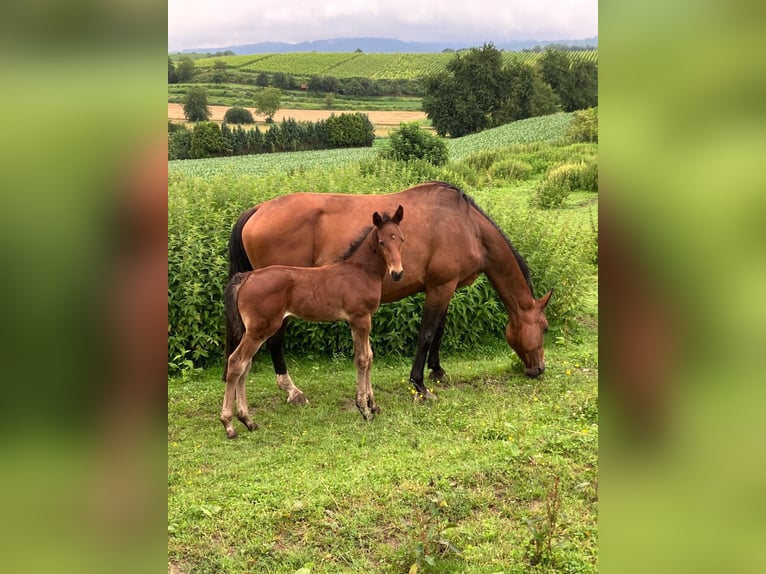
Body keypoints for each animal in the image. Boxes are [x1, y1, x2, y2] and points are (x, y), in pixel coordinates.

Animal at [224, 209, 408, 438]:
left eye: (401, 239)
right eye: (382, 242)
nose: (397, 273)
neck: (359, 272)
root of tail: (246, 278)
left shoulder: (363, 320)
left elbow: (370, 357)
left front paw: (373, 405)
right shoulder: (359, 318)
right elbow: (362, 359)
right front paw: (364, 410)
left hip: (253, 330)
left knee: (245, 365)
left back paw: (248, 421)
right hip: (260, 329)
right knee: (236, 362)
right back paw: (230, 425)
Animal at [225, 182, 556, 402]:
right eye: (544, 327)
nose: (539, 369)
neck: (466, 225)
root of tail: (258, 209)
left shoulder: (444, 288)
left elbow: (439, 331)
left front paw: (437, 371)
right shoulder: (440, 287)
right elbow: (427, 334)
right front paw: (419, 384)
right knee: (274, 341)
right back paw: (292, 390)